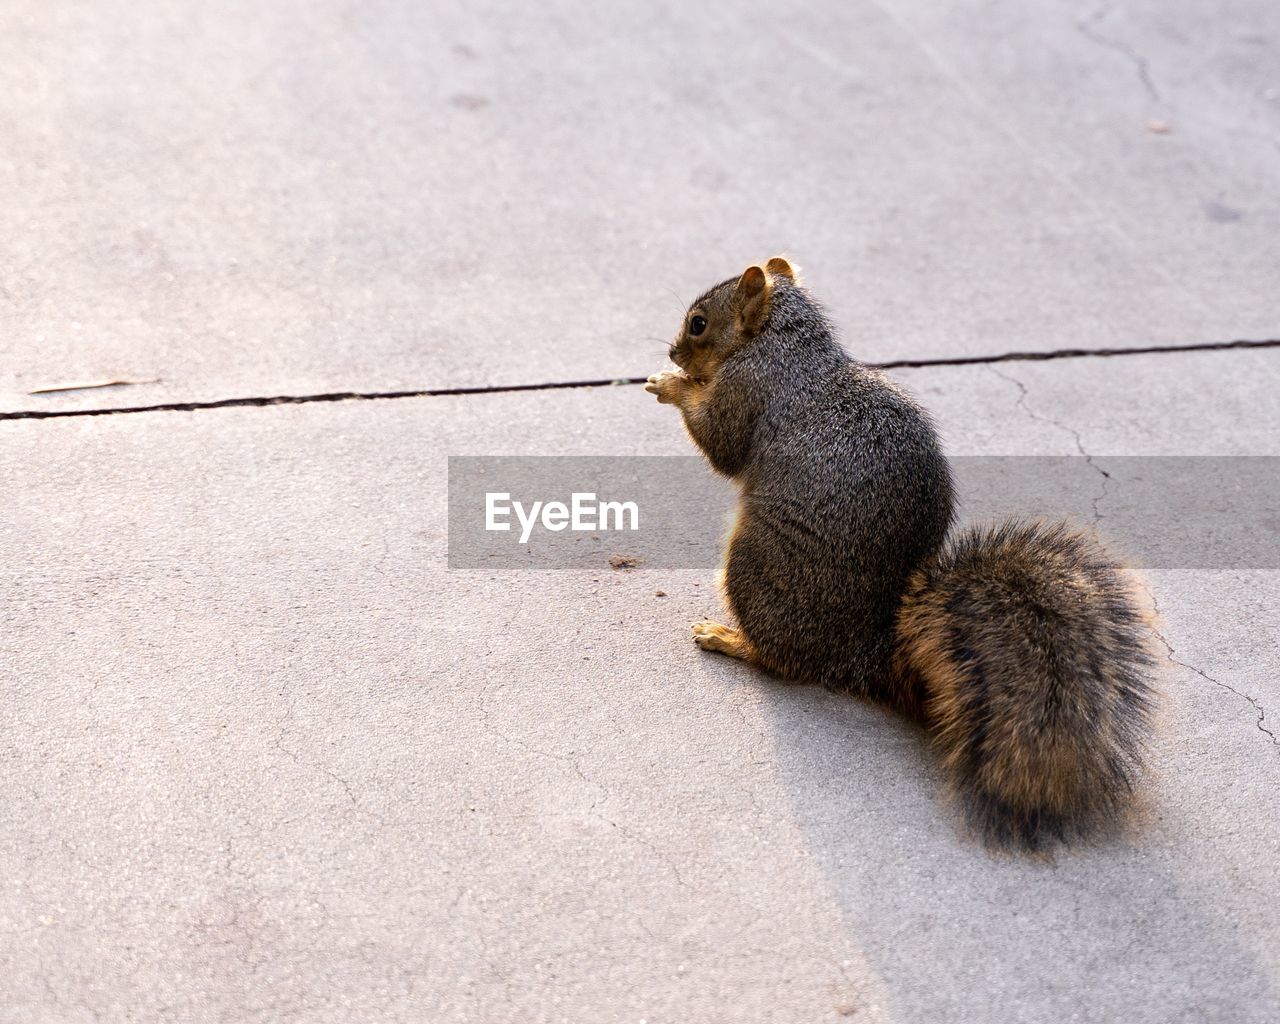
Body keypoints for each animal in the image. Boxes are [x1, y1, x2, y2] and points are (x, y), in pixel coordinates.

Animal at [650, 259, 1162, 849]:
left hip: (754, 566)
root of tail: (864, 652)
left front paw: (671, 386)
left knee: (781, 659)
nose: (672, 354)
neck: (787, 345)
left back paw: (728, 638)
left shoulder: (748, 390)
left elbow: (722, 444)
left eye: (699, 324)